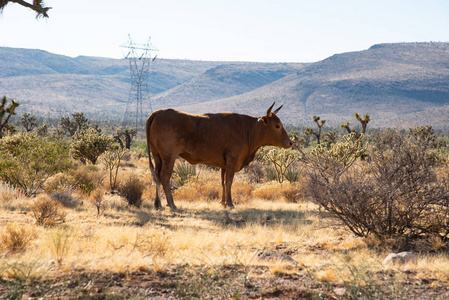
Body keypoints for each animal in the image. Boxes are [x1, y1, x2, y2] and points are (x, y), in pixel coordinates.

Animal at [145, 102, 292, 210]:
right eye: (277, 126)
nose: (290, 142)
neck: (247, 130)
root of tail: (159, 112)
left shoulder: (224, 164)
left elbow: (223, 182)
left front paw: (223, 202)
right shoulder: (232, 160)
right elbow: (229, 181)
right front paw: (230, 203)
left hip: (157, 156)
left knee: (156, 176)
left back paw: (158, 204)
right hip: (169, 157)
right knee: (165, 177)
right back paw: (172, 204)